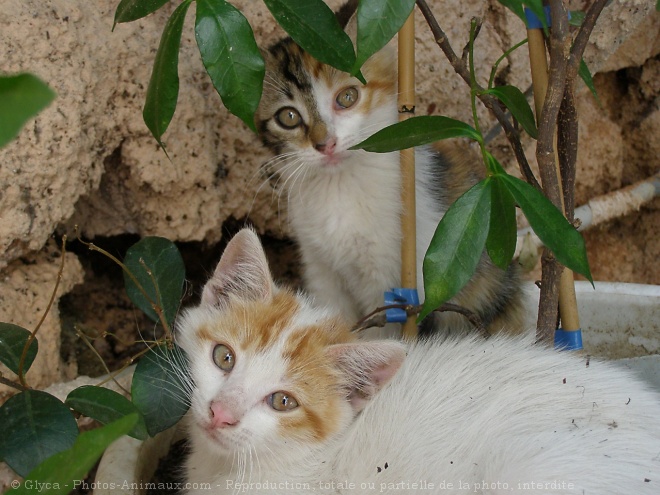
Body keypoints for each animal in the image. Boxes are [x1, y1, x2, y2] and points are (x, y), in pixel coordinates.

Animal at [255, 0, 524, 338]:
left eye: (347, 97)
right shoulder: (321, 271)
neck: (339, 186)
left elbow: (378, 334)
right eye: (288, 117)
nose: (325, 143)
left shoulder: (388, 281)